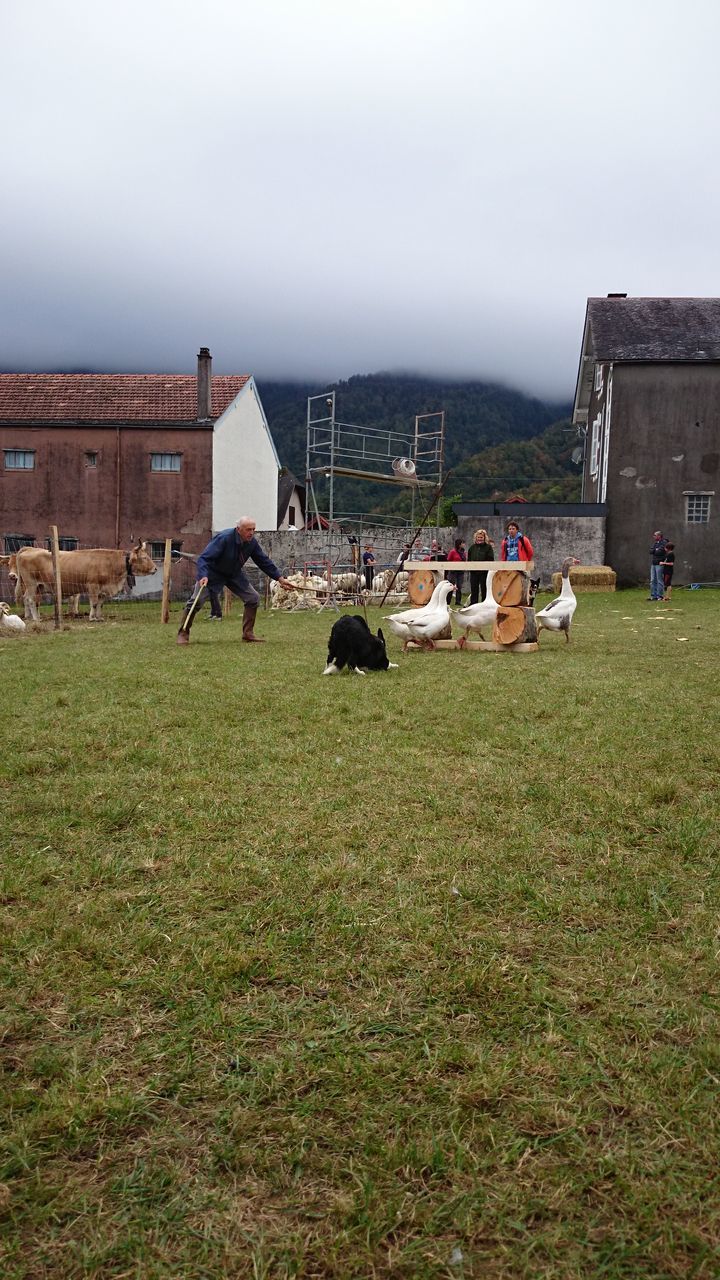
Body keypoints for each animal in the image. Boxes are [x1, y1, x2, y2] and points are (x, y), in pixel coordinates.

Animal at [16, 540, 156, 619]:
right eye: (144, 557)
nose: (155, 568)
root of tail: (28, 549)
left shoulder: (103, 589)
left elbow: (100, 603)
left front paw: (99, 617)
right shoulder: (93, 586)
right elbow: (94, 603)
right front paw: (92, 617)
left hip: (38, 586)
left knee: (28, 599)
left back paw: (31, 616)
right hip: (31, 584)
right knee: (31, 600)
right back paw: (36, 618)